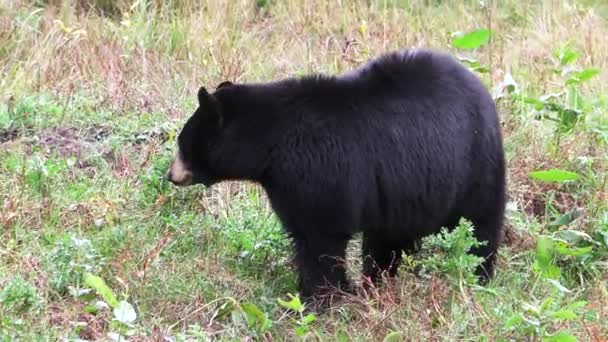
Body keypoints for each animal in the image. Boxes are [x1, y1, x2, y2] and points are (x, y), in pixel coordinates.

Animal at [165, 47, 504, 304]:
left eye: (182, 142)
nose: (171, 175)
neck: (270, 143)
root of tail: (482, 88)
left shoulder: (317, 169)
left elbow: (319, 235)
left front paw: (322, 297)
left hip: (475, 164)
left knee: (480, 225)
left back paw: (477, 276)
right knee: (389, 239)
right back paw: (378, 282)